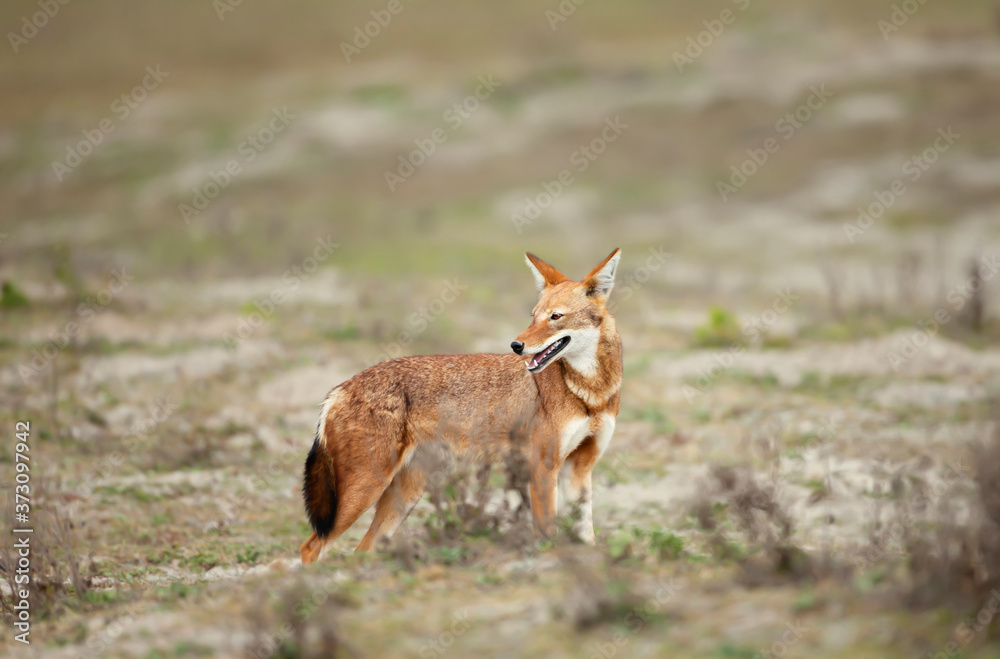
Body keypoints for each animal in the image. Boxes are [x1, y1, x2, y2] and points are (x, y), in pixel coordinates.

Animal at [300, 249, 622, 563]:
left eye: (556, 317)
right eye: (533, 317)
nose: (516, 346)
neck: (590, 393)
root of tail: (337, 390)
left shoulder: (579, 469)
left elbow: (586, 534)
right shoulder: (542, 467)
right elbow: (548, 535)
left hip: (403, 496)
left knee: (361, 550)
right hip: (364, 492)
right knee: (311, 547)